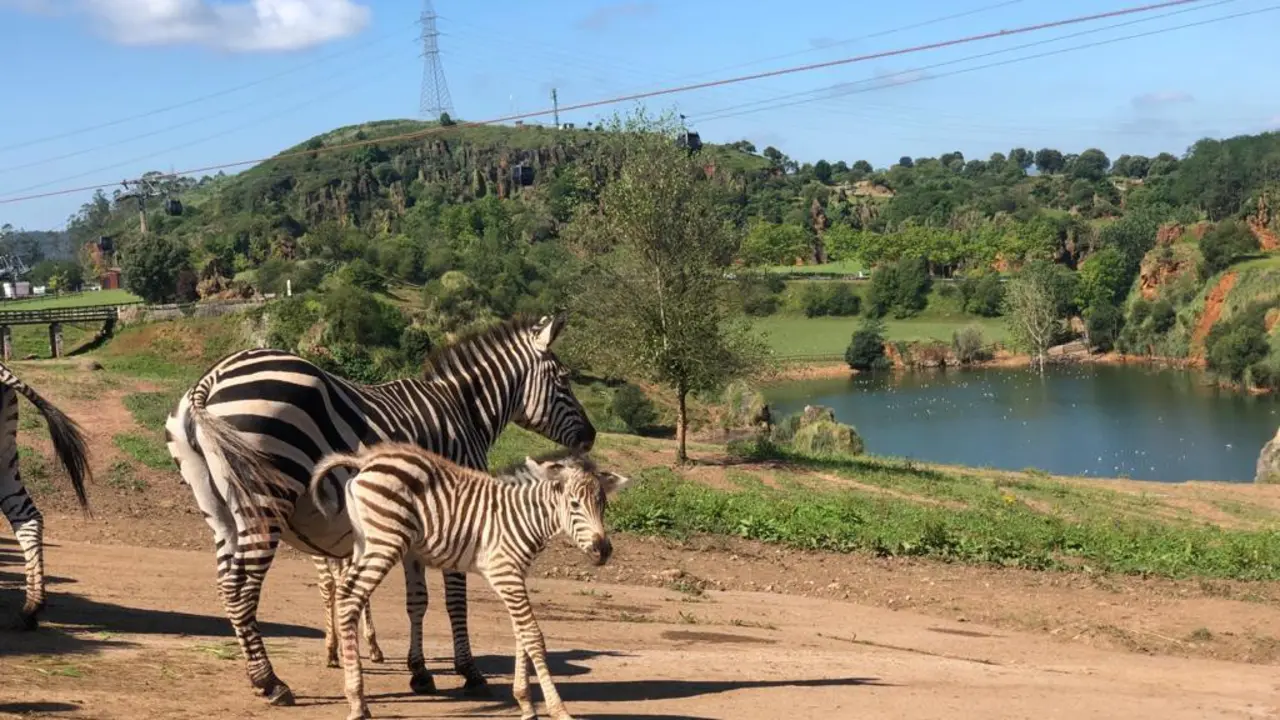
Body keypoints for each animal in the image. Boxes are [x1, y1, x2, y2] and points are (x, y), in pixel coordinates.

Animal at [165, 314, 596, 706]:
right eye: (563, 381)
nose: (591, 437)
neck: (465, 413)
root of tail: (211, 379)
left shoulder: (421, 525)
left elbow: (417, 600)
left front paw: (419, 671)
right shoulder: (461, 511)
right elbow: (455, 599)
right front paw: (469, 671)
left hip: (221, 514)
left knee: (227, 585)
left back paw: (260, 675)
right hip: (265, 499)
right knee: (242, 586)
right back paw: (270, 682)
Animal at [309, 442, 630, 720]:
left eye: (603, 505)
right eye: (574, 504)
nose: (603, 551)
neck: (523, 517)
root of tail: (366, 461)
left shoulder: (515, 576)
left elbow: (520, 635)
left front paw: (526, 703)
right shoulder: (505, 573)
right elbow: (533, 636)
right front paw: (558, 709)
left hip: (365, 543)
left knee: (346, 594)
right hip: (385, 541)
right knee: (349, 597)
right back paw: (356, 700)